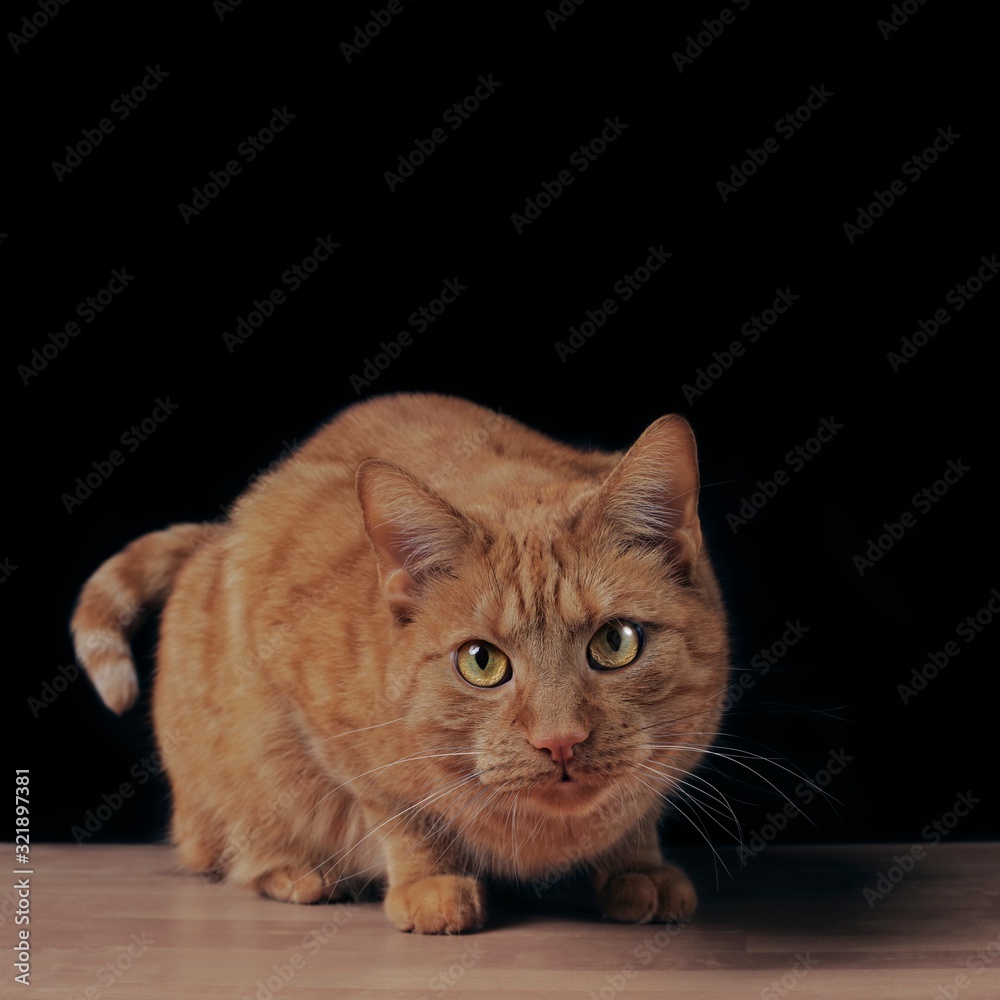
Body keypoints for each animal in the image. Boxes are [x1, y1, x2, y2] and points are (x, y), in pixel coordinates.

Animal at [70, 394, 728, 932]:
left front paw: (637, 865)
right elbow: (396, 808)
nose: (560, 740)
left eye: (615, 642)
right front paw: (428, 882)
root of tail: (213, 536)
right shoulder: (321, 717)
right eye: (481, 662)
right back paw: (295, 872)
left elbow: (638, 807)